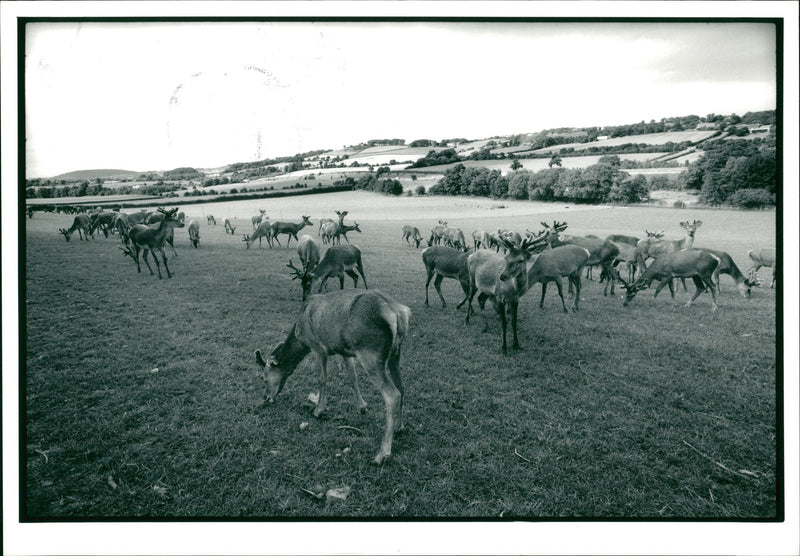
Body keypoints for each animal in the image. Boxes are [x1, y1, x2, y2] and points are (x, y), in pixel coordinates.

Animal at [253, 286, 410, 464]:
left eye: (263, 378)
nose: (266, 397)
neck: (300, 337)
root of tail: (398, 312)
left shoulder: (318, 347)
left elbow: (322, 379)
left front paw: (319, 410)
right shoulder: (345, 351)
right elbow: (352, 377)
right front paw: (362, 407)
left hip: (370, 352)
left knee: (392, 394)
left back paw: (382, 454)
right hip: (395, 353)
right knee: (401, 386)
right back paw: (399, 427)